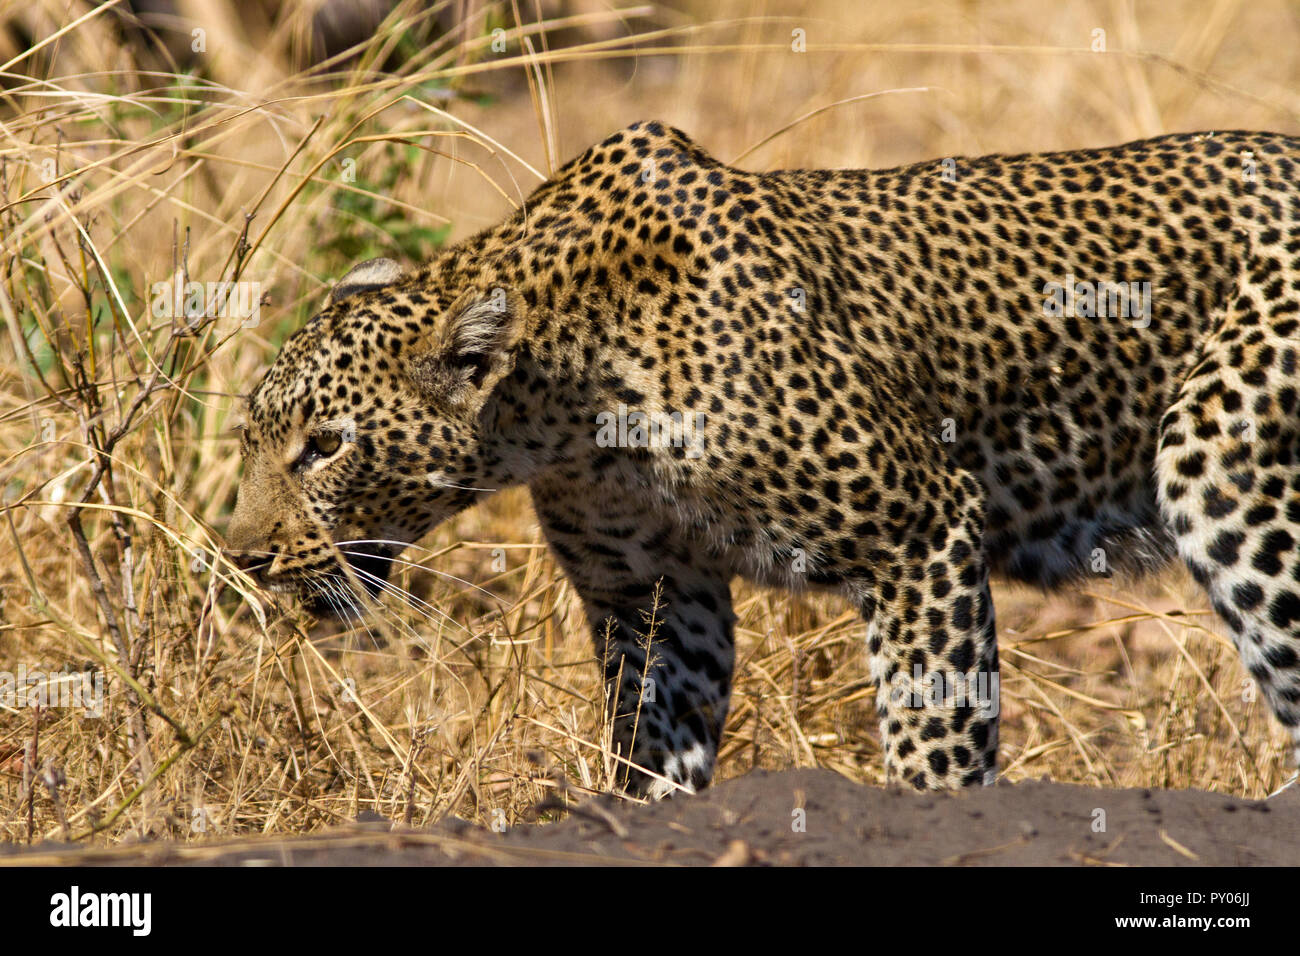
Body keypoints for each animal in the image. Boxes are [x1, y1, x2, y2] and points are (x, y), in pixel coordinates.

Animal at [228, 121, 1300, 801]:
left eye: (324, 447)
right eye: (251, 440)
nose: (245, 558)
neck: (567, 406)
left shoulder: (920, 528)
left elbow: (935, 729)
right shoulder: (649, 590)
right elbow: (655, 746)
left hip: (1225, 469)